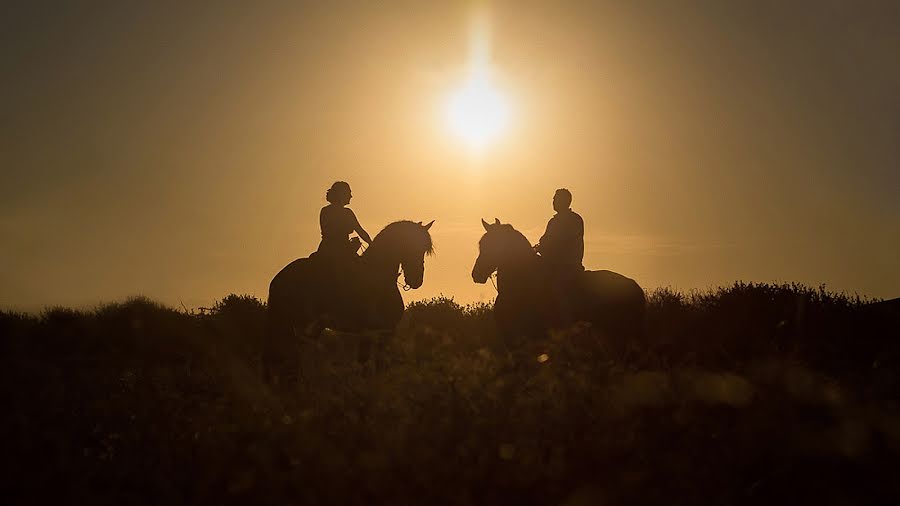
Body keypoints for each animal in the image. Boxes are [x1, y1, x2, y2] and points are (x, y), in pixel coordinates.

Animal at [264, 219, 432, 382]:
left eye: (424, 250)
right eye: (410, 245)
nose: (416, 279)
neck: (377, 274)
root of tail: (278, 278)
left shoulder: (384, 331)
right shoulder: (372, 331)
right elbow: (366, 363)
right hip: (297, 323)